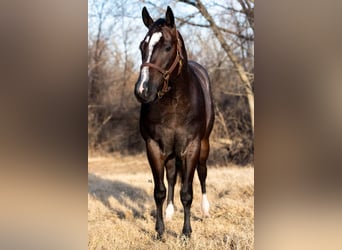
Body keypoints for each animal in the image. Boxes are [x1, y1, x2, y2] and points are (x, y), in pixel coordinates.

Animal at [134, 5, 214, 236]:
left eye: (167, 47)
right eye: (142, 45)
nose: (143, 90)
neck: (174, 104)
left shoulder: (192, 147)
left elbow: (187, 192)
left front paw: (186, 233)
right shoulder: (153, 147)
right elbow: (159, 190)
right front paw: (160, 231)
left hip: (204, 144)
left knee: (202, 173)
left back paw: (205, 210)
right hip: (170, 151)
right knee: (171, 176)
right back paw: (170, 212)